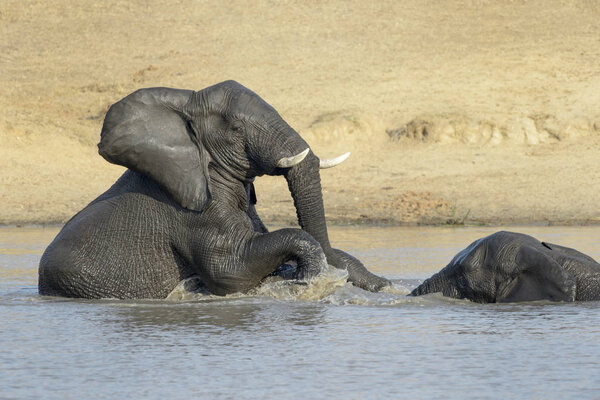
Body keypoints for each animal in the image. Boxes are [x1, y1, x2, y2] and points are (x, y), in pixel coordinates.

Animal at [39, 81, 392, 298]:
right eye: (236, 129)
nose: (304, 277)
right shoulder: (190, 212)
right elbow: (230, 271)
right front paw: (305, 278)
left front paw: (383, 286)